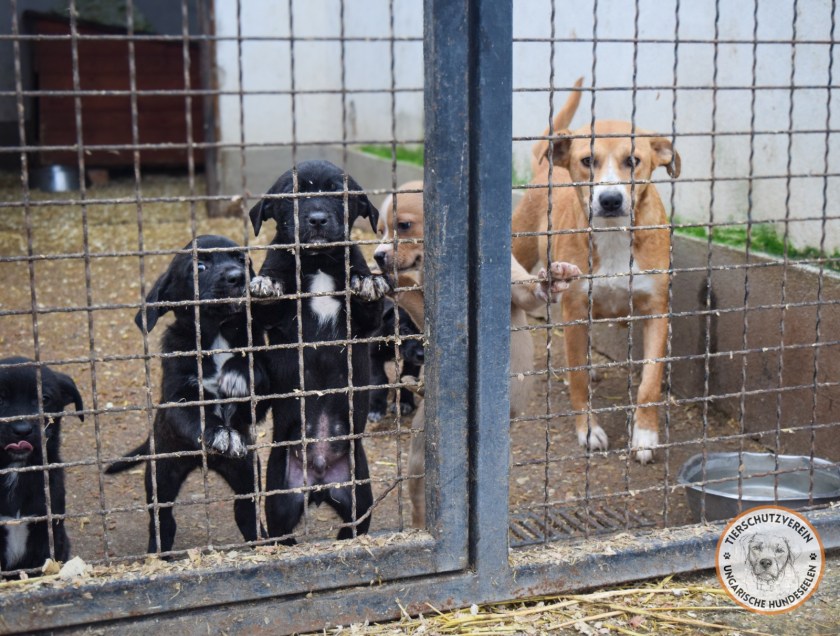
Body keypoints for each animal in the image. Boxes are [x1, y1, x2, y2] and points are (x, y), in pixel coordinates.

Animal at [106, 235, 269, 554]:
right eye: (200, 266)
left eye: (242, 259)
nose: (238, 276)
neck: (217, 335)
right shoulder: (177, 398)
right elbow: (195, 414)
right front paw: (220, 432)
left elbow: (255, 377)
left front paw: (238, 373)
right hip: (162, 474)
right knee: (162, 516)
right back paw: (159, 551)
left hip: (246, 470)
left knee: (244, 509)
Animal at [249, 159, 387, 543]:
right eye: (290, 195)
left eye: (337, 193)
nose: (317, 219)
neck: (319, 262)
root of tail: (320, 482)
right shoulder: (274, 321)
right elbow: (269, 293)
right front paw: (267, 283)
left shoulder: (365, 325)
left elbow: (367, 298)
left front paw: (367, 282)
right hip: (280, 495)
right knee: (281, 533)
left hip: (360, 492)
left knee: (353, 528)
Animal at [373, 181, 580, 527]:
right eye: (379, 231)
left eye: (403, 225)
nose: (377, 255)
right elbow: (410, 293)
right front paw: (390, 280)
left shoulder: (512, 283)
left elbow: (532, 292)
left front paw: (555, 279)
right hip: (421, 452)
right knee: (421, 499)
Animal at [512, 83, 680, 464]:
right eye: (588, 161)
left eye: (633, 160)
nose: (610, 199)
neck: (613, 235)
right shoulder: (574, 311)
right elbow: (576, 380)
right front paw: (588, 430)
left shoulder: (657, 311)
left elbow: (650, 382)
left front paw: (645, 435)